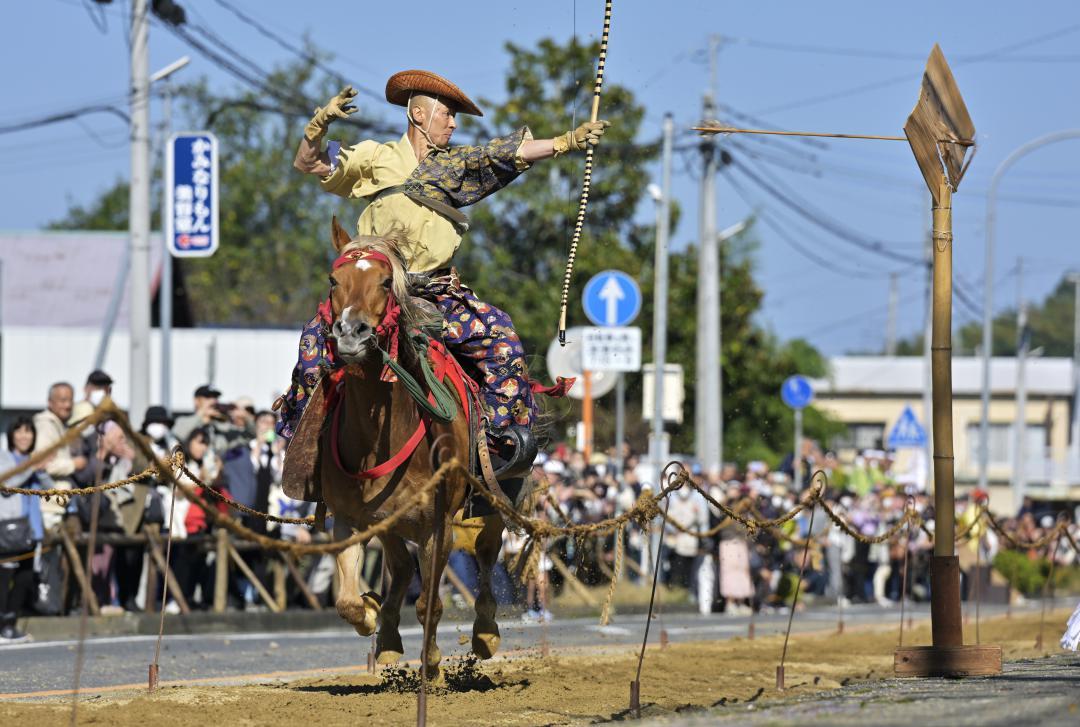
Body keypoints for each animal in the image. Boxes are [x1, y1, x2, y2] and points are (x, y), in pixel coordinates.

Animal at [319, 219, 505, 674]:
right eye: (334, 280)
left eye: (385, 282)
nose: (350, 332)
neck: (378, 439)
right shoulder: (349, 517)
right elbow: (347, 601)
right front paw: (370, 613)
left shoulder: (438, 526)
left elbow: (430, 605)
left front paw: (432, 664)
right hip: (388, 522)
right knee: (402, 568)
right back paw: (386, 634)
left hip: (495, 499)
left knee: (487, 553)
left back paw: (485, 631)